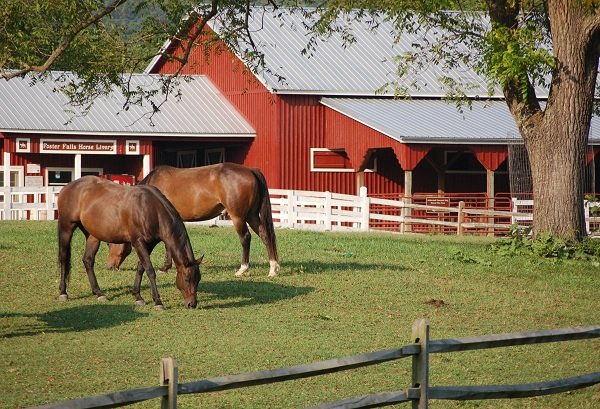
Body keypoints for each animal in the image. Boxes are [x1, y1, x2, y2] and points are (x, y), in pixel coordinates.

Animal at [57, 174, 202, 308]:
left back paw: (99, 293)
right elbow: (150, 269)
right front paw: (157, 301)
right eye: (187, 279)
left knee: (88, 260)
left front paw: (137, 296)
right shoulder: (138, 242)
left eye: (199, 279)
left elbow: (141, 268)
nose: (192, 304)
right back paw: (63, 292)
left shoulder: (150, 244)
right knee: (64, 258)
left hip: (93, 236)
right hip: (66, 228)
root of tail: (68, 187)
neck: (151, 209)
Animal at [106, 163, 280, 278]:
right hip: (251, 215)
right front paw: (167, 266)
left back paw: (242, 269)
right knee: (265, 235)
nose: (109, 266)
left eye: (110, 244)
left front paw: (165, 267)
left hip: (238, 217)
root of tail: (250, 170)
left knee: (245, 238)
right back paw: (273, 268)